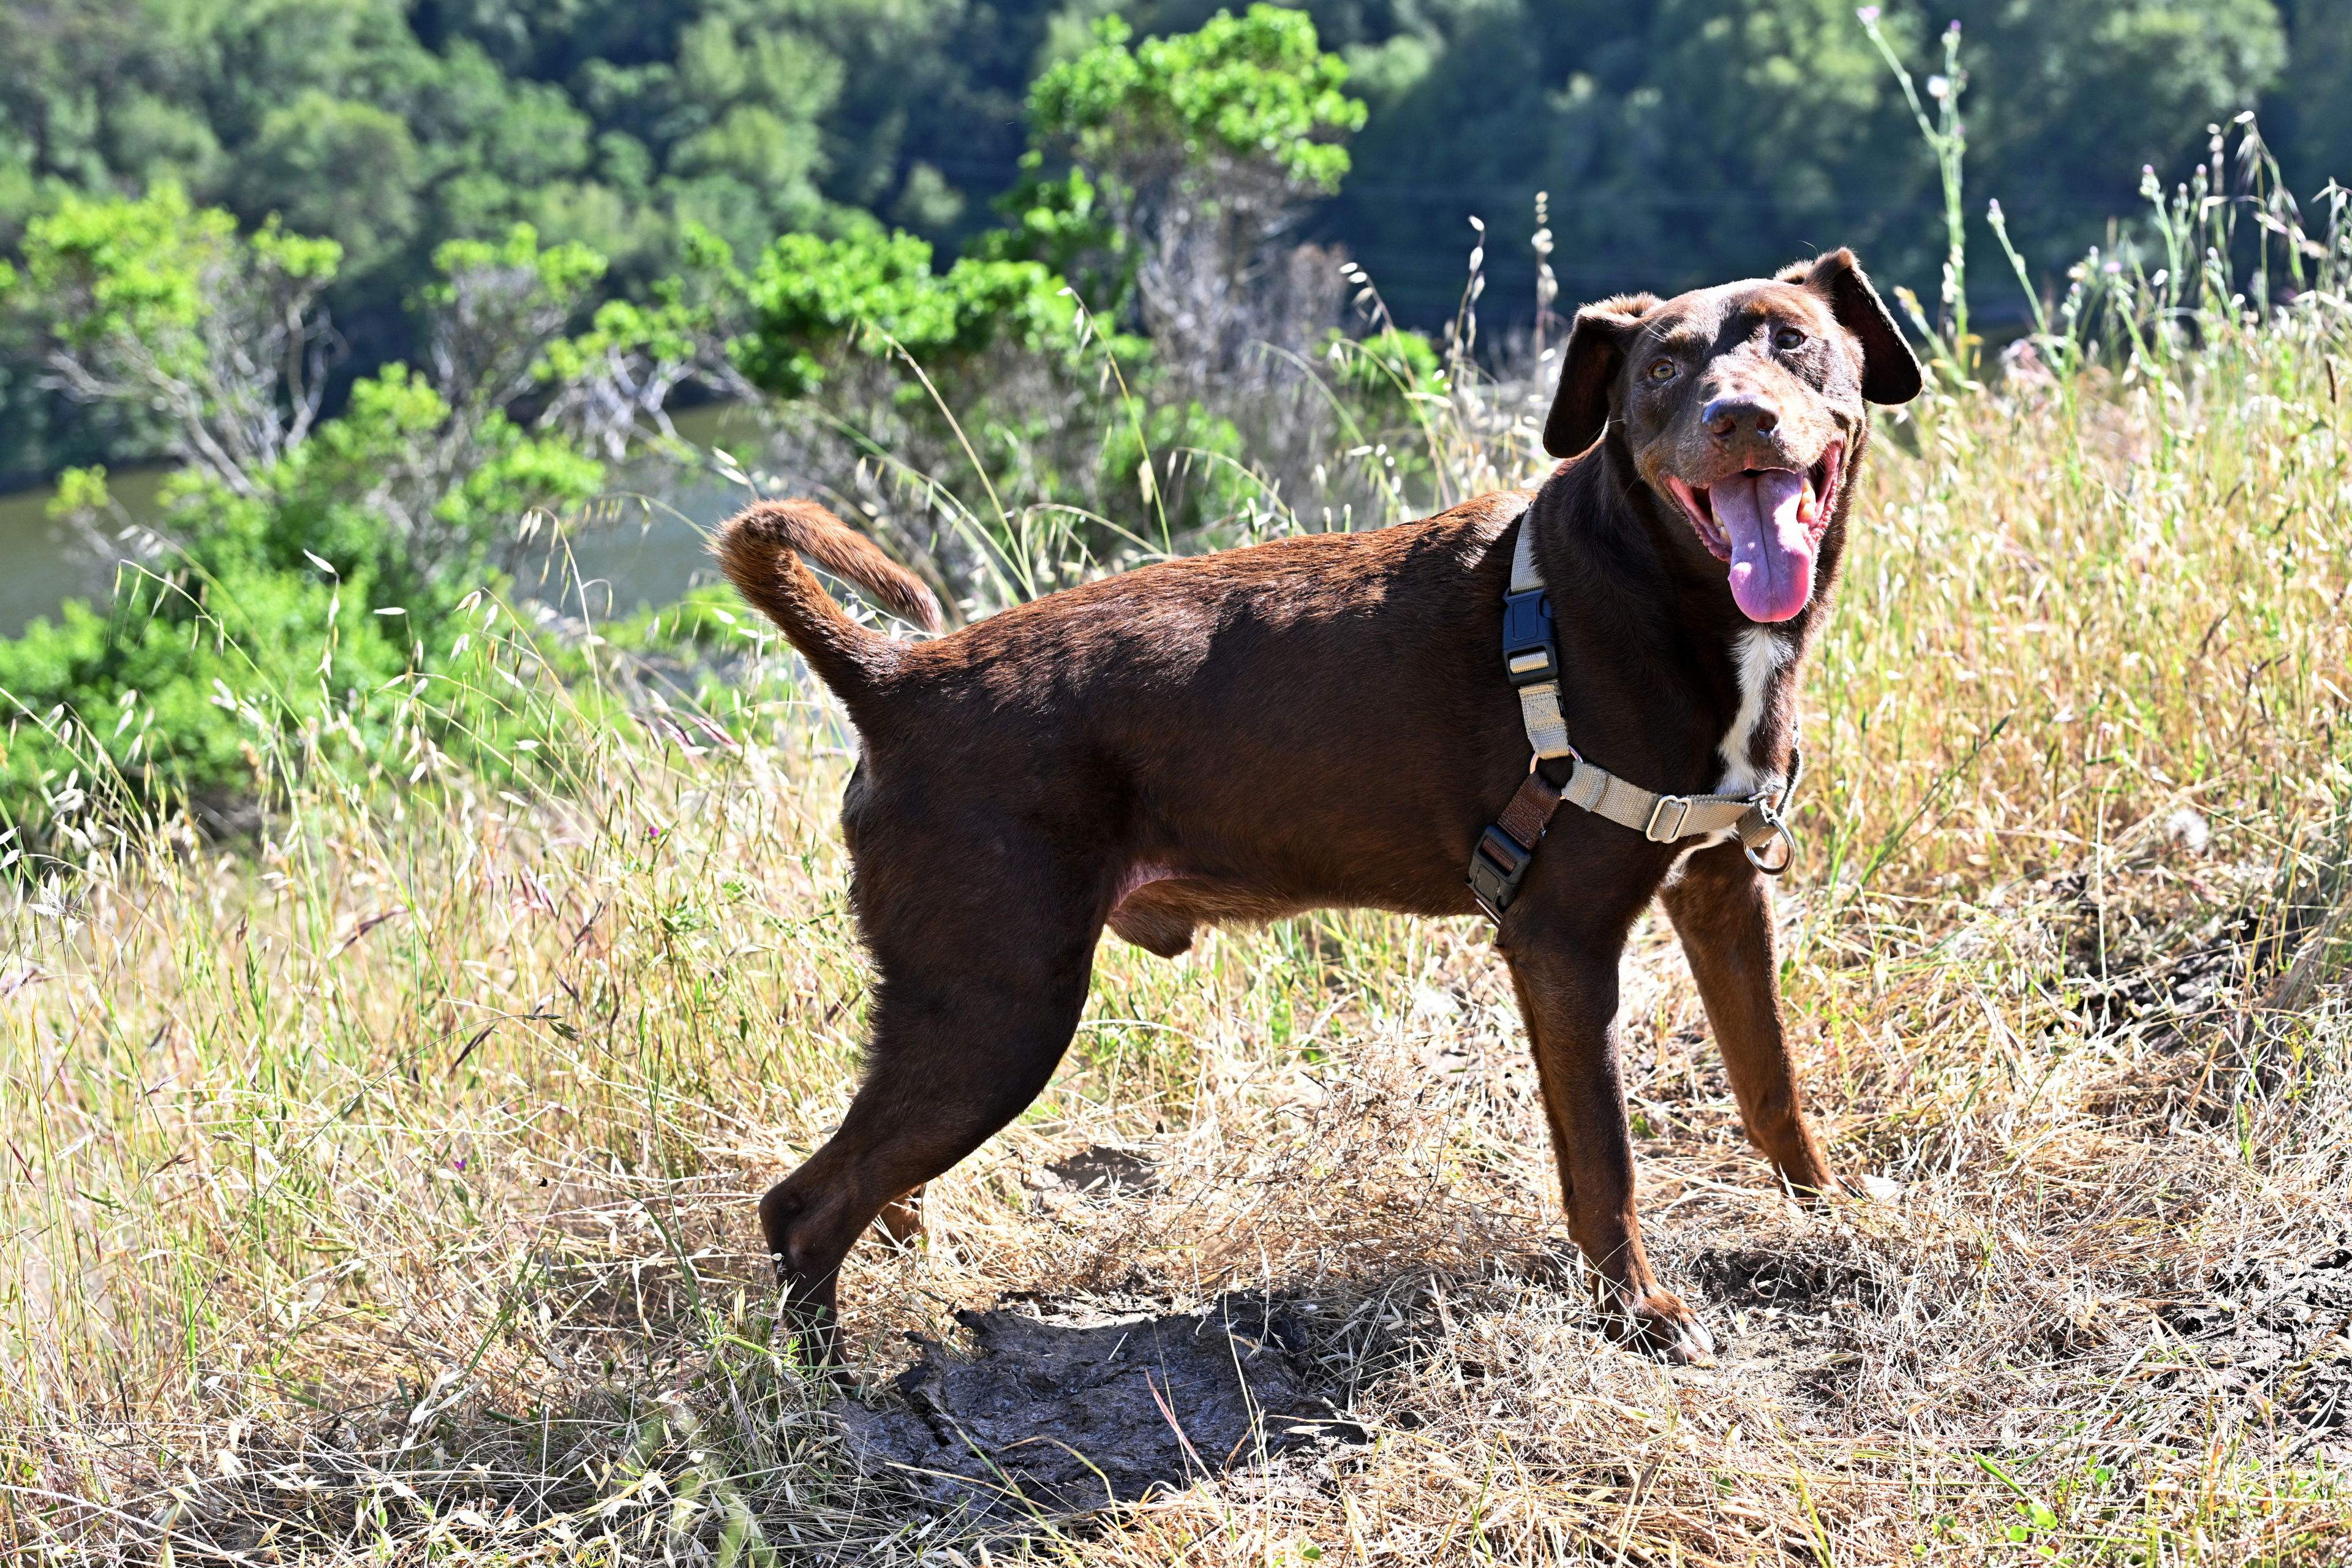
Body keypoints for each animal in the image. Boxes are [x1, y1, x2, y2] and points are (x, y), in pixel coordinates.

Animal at [724, 246, 1919, 1363]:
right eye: (1664, 368)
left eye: (1794, 339)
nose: (1739, 417)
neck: (1658, 594)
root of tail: (895, 679)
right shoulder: (1562, 942)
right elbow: (1605, 1160)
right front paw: (1638, 1311)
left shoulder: (1720, 891)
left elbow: (1770, 1080)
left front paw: (1828, 1210)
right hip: (1002, 1008)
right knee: (804, 1207)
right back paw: (829, 1390)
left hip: (962, 1013)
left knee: (877, 1190)